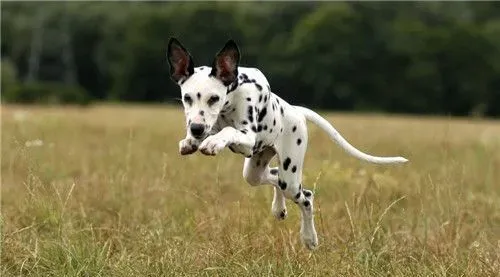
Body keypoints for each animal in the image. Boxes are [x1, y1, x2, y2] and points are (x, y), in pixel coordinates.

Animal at [166, 37, 408, 249]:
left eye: (214, 98)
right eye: (187, 98)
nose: (196, 129)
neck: (232, 96)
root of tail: (295, 110)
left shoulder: (248, 138)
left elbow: (228, 130)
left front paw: (213, 142)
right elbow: (213, 130)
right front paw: (190, 141)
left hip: (290, 176)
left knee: (306, 197)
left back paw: (309, 238)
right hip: (255, 172)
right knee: (273, 175)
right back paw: (279, 208)